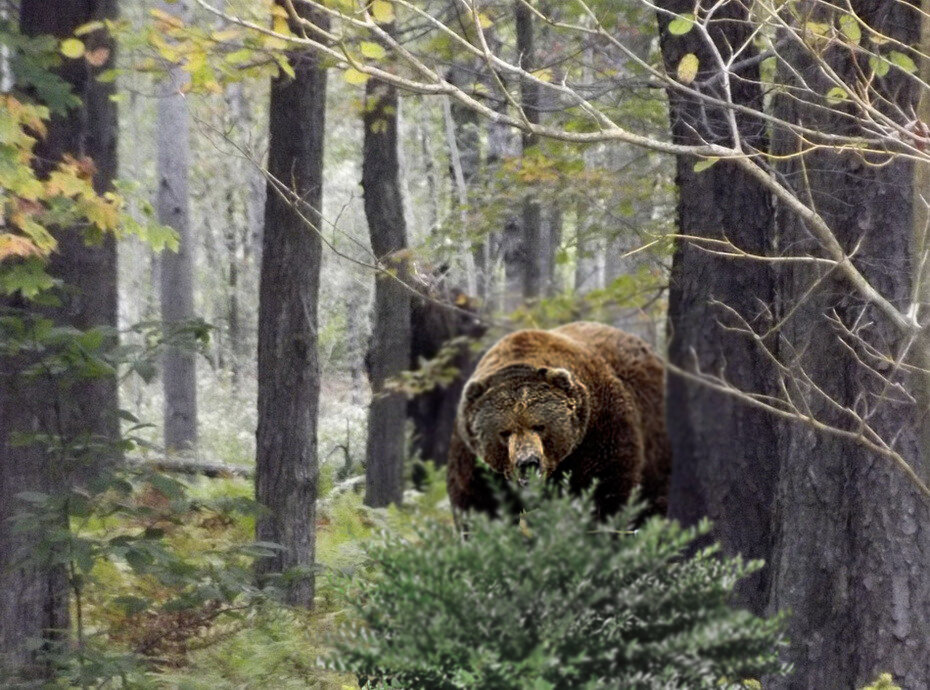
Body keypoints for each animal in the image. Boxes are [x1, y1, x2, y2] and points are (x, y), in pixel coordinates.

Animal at [448, 320, 672, 520]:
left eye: (539, 426)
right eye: (504, 432)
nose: (528, 462)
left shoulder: (598, 430)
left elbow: (605, 489)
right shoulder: (472, 457)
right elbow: (477, 503)